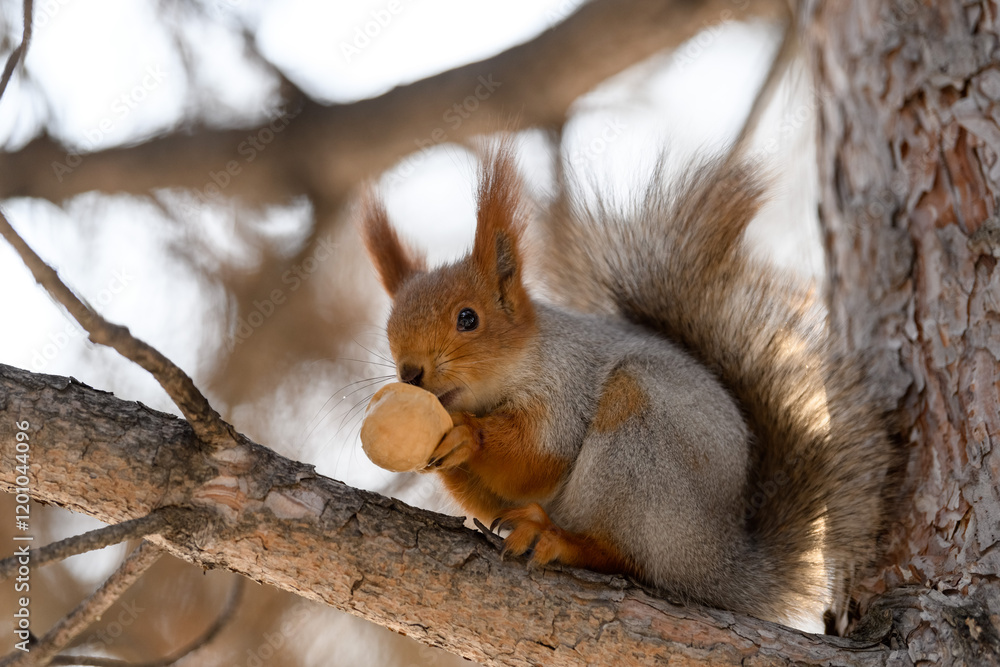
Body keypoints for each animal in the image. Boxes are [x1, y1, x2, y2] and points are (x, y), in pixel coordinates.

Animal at [359, 141, 894, 633]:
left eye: (468, 318)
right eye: (389, 330)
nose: (410, 373)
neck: (515, 368)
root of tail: (722, 563)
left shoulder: (567, 385)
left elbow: (536, 458)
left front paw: (468, 432)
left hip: (642, 447)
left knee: (629, 559)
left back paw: (563, 541)